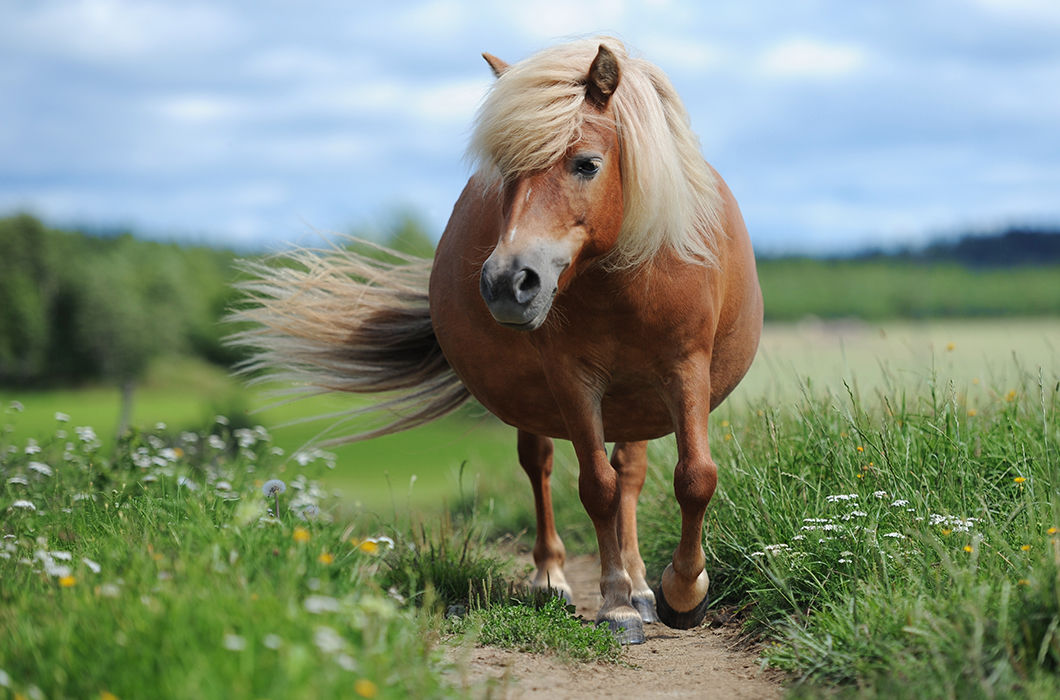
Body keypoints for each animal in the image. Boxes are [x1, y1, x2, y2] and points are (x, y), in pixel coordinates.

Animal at [232, 35, 763, 640]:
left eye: (587, 164)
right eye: (505, 174)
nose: (508, 282)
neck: (625, 277)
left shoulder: (685, 369)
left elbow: (693, 477)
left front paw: (681, 593)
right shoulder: (573, 381)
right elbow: (596, 487)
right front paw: (616, 605)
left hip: (638, 402)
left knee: (630, 472)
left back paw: (643, 586)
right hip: (542, 402)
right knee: (543, 466)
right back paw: (556, 581)